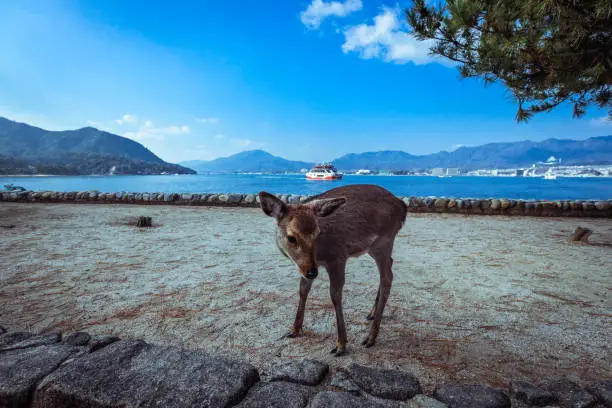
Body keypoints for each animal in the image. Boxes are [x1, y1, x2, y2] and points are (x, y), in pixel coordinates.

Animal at [258, 183, 406, 356]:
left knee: (387, 277)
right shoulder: (307, 266)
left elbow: (335, 295)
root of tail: (402, 206)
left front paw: (340, 345)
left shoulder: (337, 257)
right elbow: (302, 290)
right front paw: (294, 330)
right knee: (390, 264)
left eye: (317, 233)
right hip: (374, 247)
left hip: (384, 241)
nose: (313, 272)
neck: (320, 255)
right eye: (291, 237)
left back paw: (370, 337)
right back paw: (371, 313)